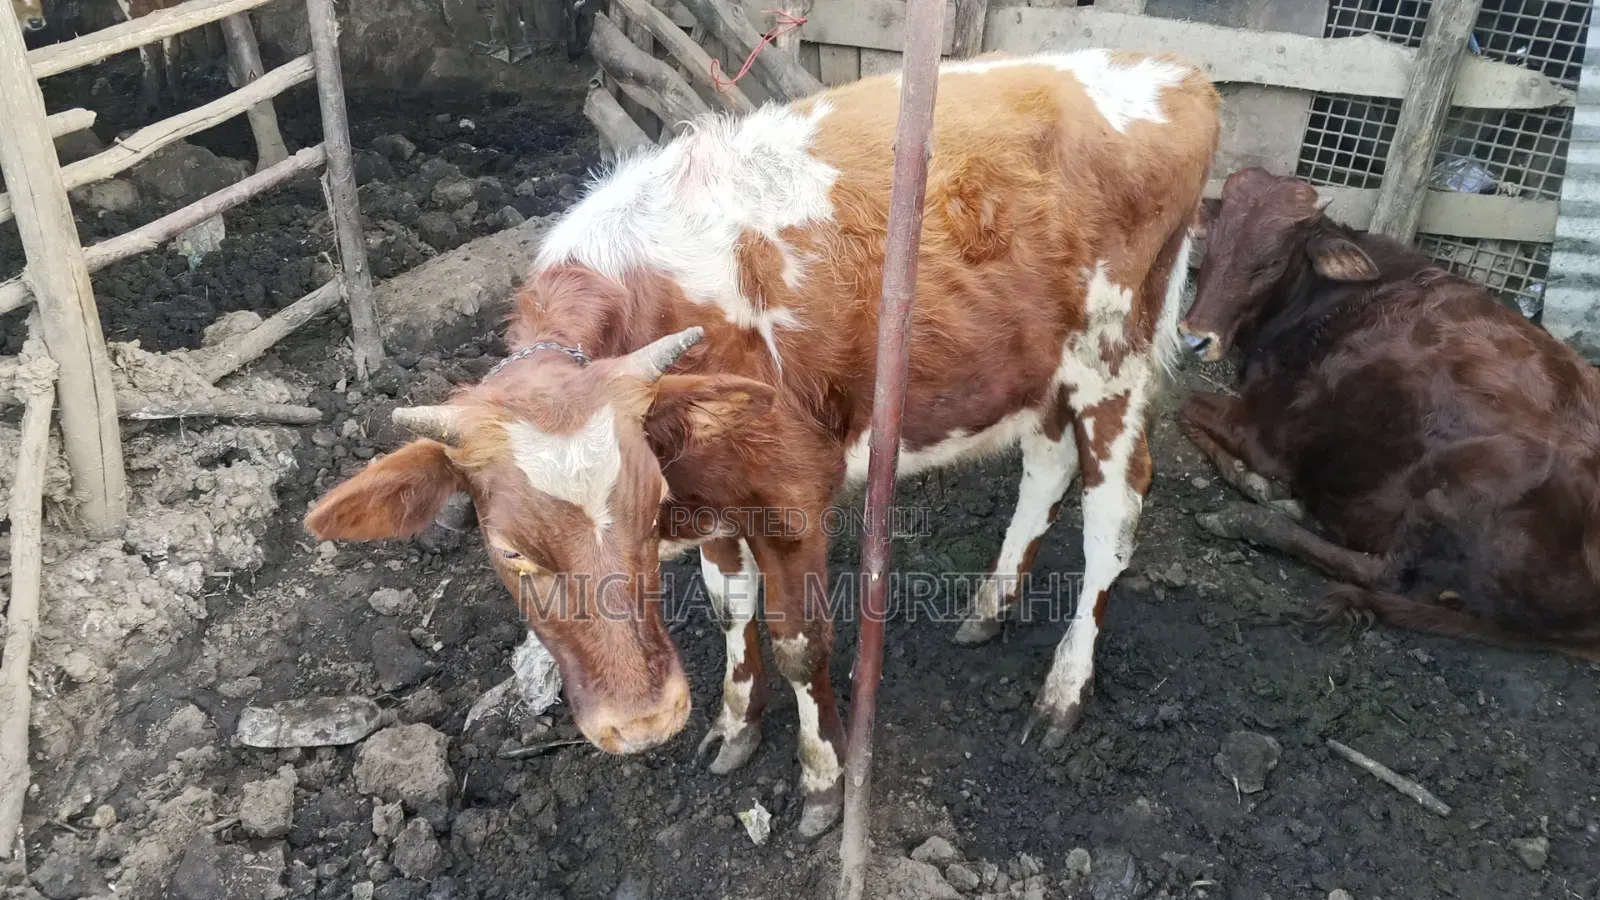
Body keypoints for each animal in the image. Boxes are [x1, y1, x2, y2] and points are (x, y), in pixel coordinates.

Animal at [305, 50, 1222, 838]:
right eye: (509, 552)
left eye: (643, 512)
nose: (643, 723)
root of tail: (1174, 70)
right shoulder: (719, 498)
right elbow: (729, 610)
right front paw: (733, 726)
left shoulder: (788, 495)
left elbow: (798, 641)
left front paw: (821, 780)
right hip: (1037, 363)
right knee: (1046, 462)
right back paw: (990, 606)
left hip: (1115, 357)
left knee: (1113, 515)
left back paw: (1065, 690)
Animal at [1177, 167, 1600, 663]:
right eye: (1212, 243)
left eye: (1272, 263)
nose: (1195, 337)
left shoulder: (1268, 433)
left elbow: (1186, 409)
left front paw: (1258, 487)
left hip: (1460, 484)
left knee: (1382, 573)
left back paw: (1248, 517)